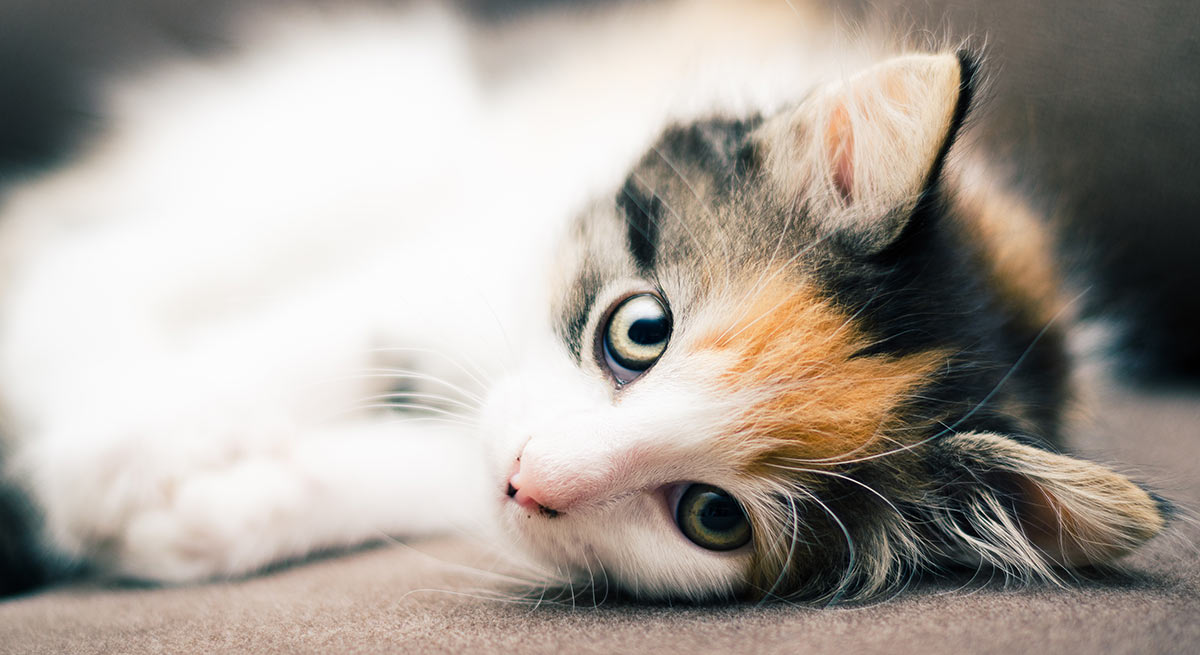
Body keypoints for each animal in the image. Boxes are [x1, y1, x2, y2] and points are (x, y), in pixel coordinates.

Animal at [0, 1, 1166, 602]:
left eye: (711, 515)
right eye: (639, 330)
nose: (530, 475)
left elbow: (434, 466)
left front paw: (198, 514)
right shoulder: (476, 236)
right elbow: (320, 332)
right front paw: (115, 453)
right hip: (370, 134)